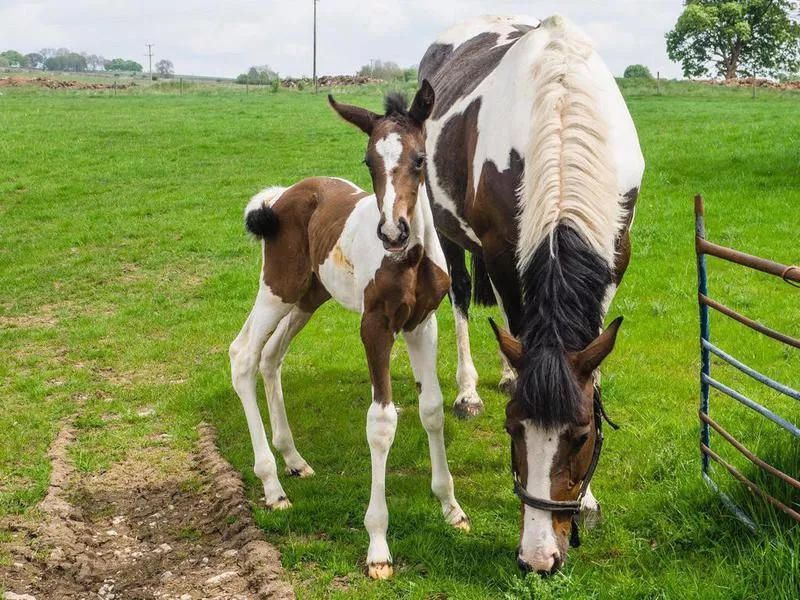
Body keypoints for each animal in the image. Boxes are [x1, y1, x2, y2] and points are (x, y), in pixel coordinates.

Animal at [228, 86, 468, 580]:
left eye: (420, 159)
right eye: (368, 161)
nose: (392, 232)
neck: (409, 260)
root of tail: (281, 196)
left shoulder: (422, 324)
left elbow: (432, 409)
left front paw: (450, 506)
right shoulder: (375, 326)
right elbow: (382, 422)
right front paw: (378, 545)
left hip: (307, 297)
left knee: (271, 357)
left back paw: (293, 459)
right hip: (278, 288)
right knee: (243, 355)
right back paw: (272, 484)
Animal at [330, 15, 644, 576]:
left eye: (582, 436)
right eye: (513, 431)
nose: (539, 558)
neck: (562, 113)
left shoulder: (615, 249)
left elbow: (588, 358)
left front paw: (587, 499)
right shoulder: (498, 248)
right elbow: (512, 326)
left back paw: (503, 372)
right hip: (450, 235)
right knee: (462, 300)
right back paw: (470, 389)